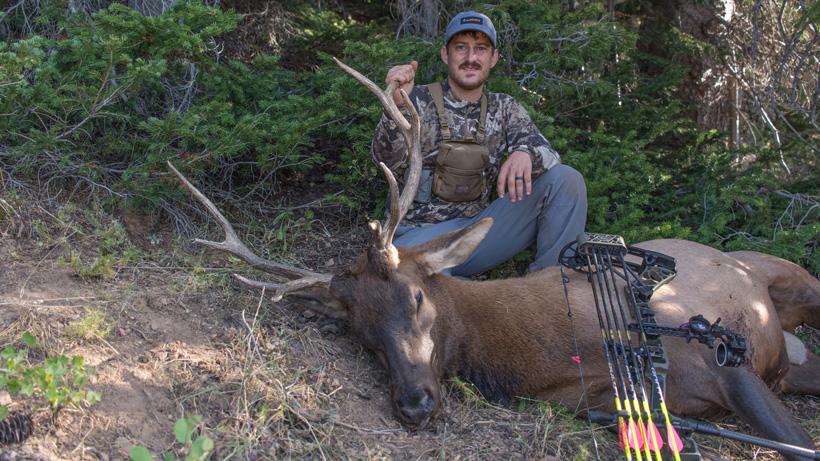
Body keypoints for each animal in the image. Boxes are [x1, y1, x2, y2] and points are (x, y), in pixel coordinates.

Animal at [169, 58, 820, 460]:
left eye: (417, 296)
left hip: (792, 280)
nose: (414, 403)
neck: (568, 346)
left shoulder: (726, 358)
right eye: (360, 332)